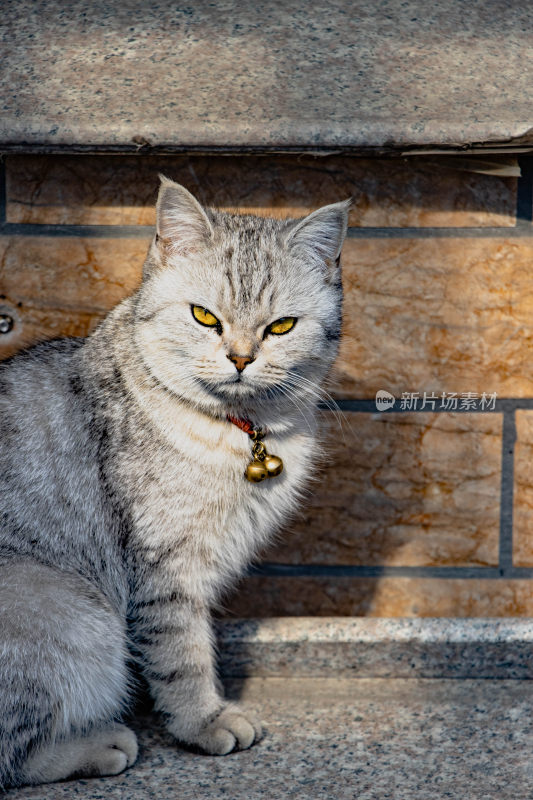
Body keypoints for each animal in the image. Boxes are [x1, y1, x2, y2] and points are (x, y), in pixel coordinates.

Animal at [0, 177, 350, 788]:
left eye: (281, 326)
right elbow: (183, 654)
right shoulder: (166, 567)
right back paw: (102, 743)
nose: (240, 358)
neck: (244, 432)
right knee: (18, 755)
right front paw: (205, 721)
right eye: (204, 316)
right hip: (76, 616)